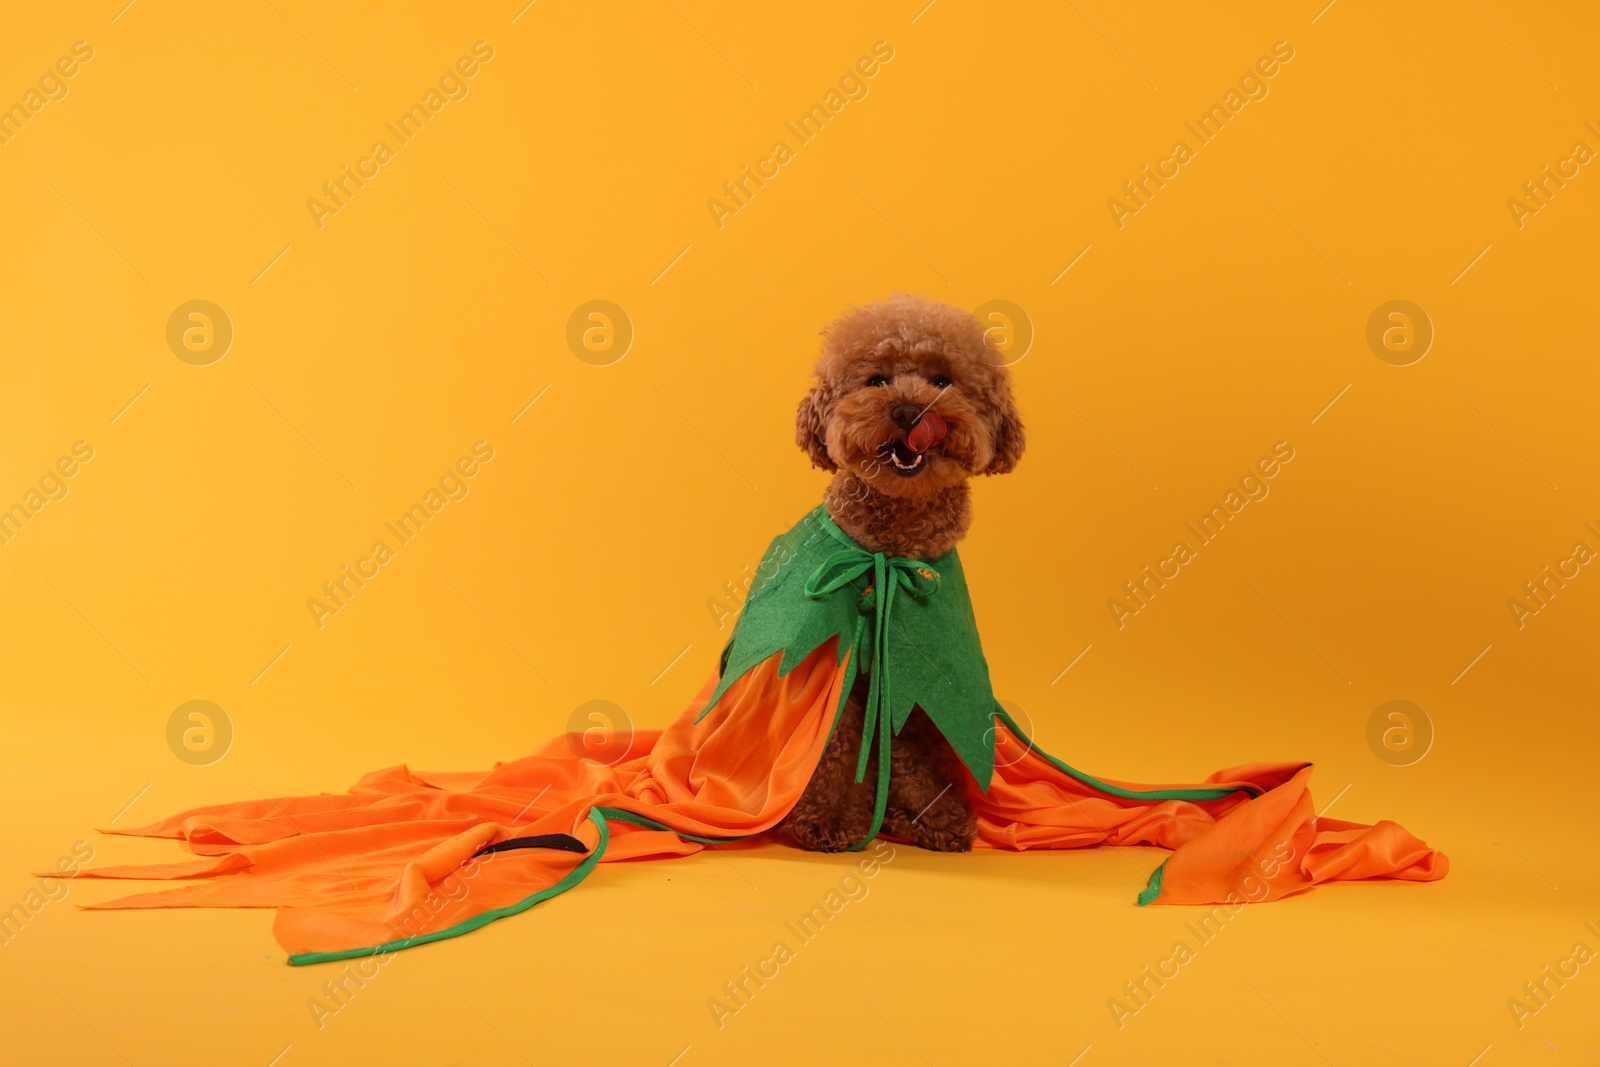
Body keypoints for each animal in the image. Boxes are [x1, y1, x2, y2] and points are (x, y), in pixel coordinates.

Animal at [784, 295, 1024, 857]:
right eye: (876, 380)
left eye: (941, 380)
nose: (910, 412)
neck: (891, 553)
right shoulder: (843, 678)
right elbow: (835, 750)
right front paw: (827, 821)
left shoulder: (917, 685)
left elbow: (915, 753)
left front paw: (936, 817)